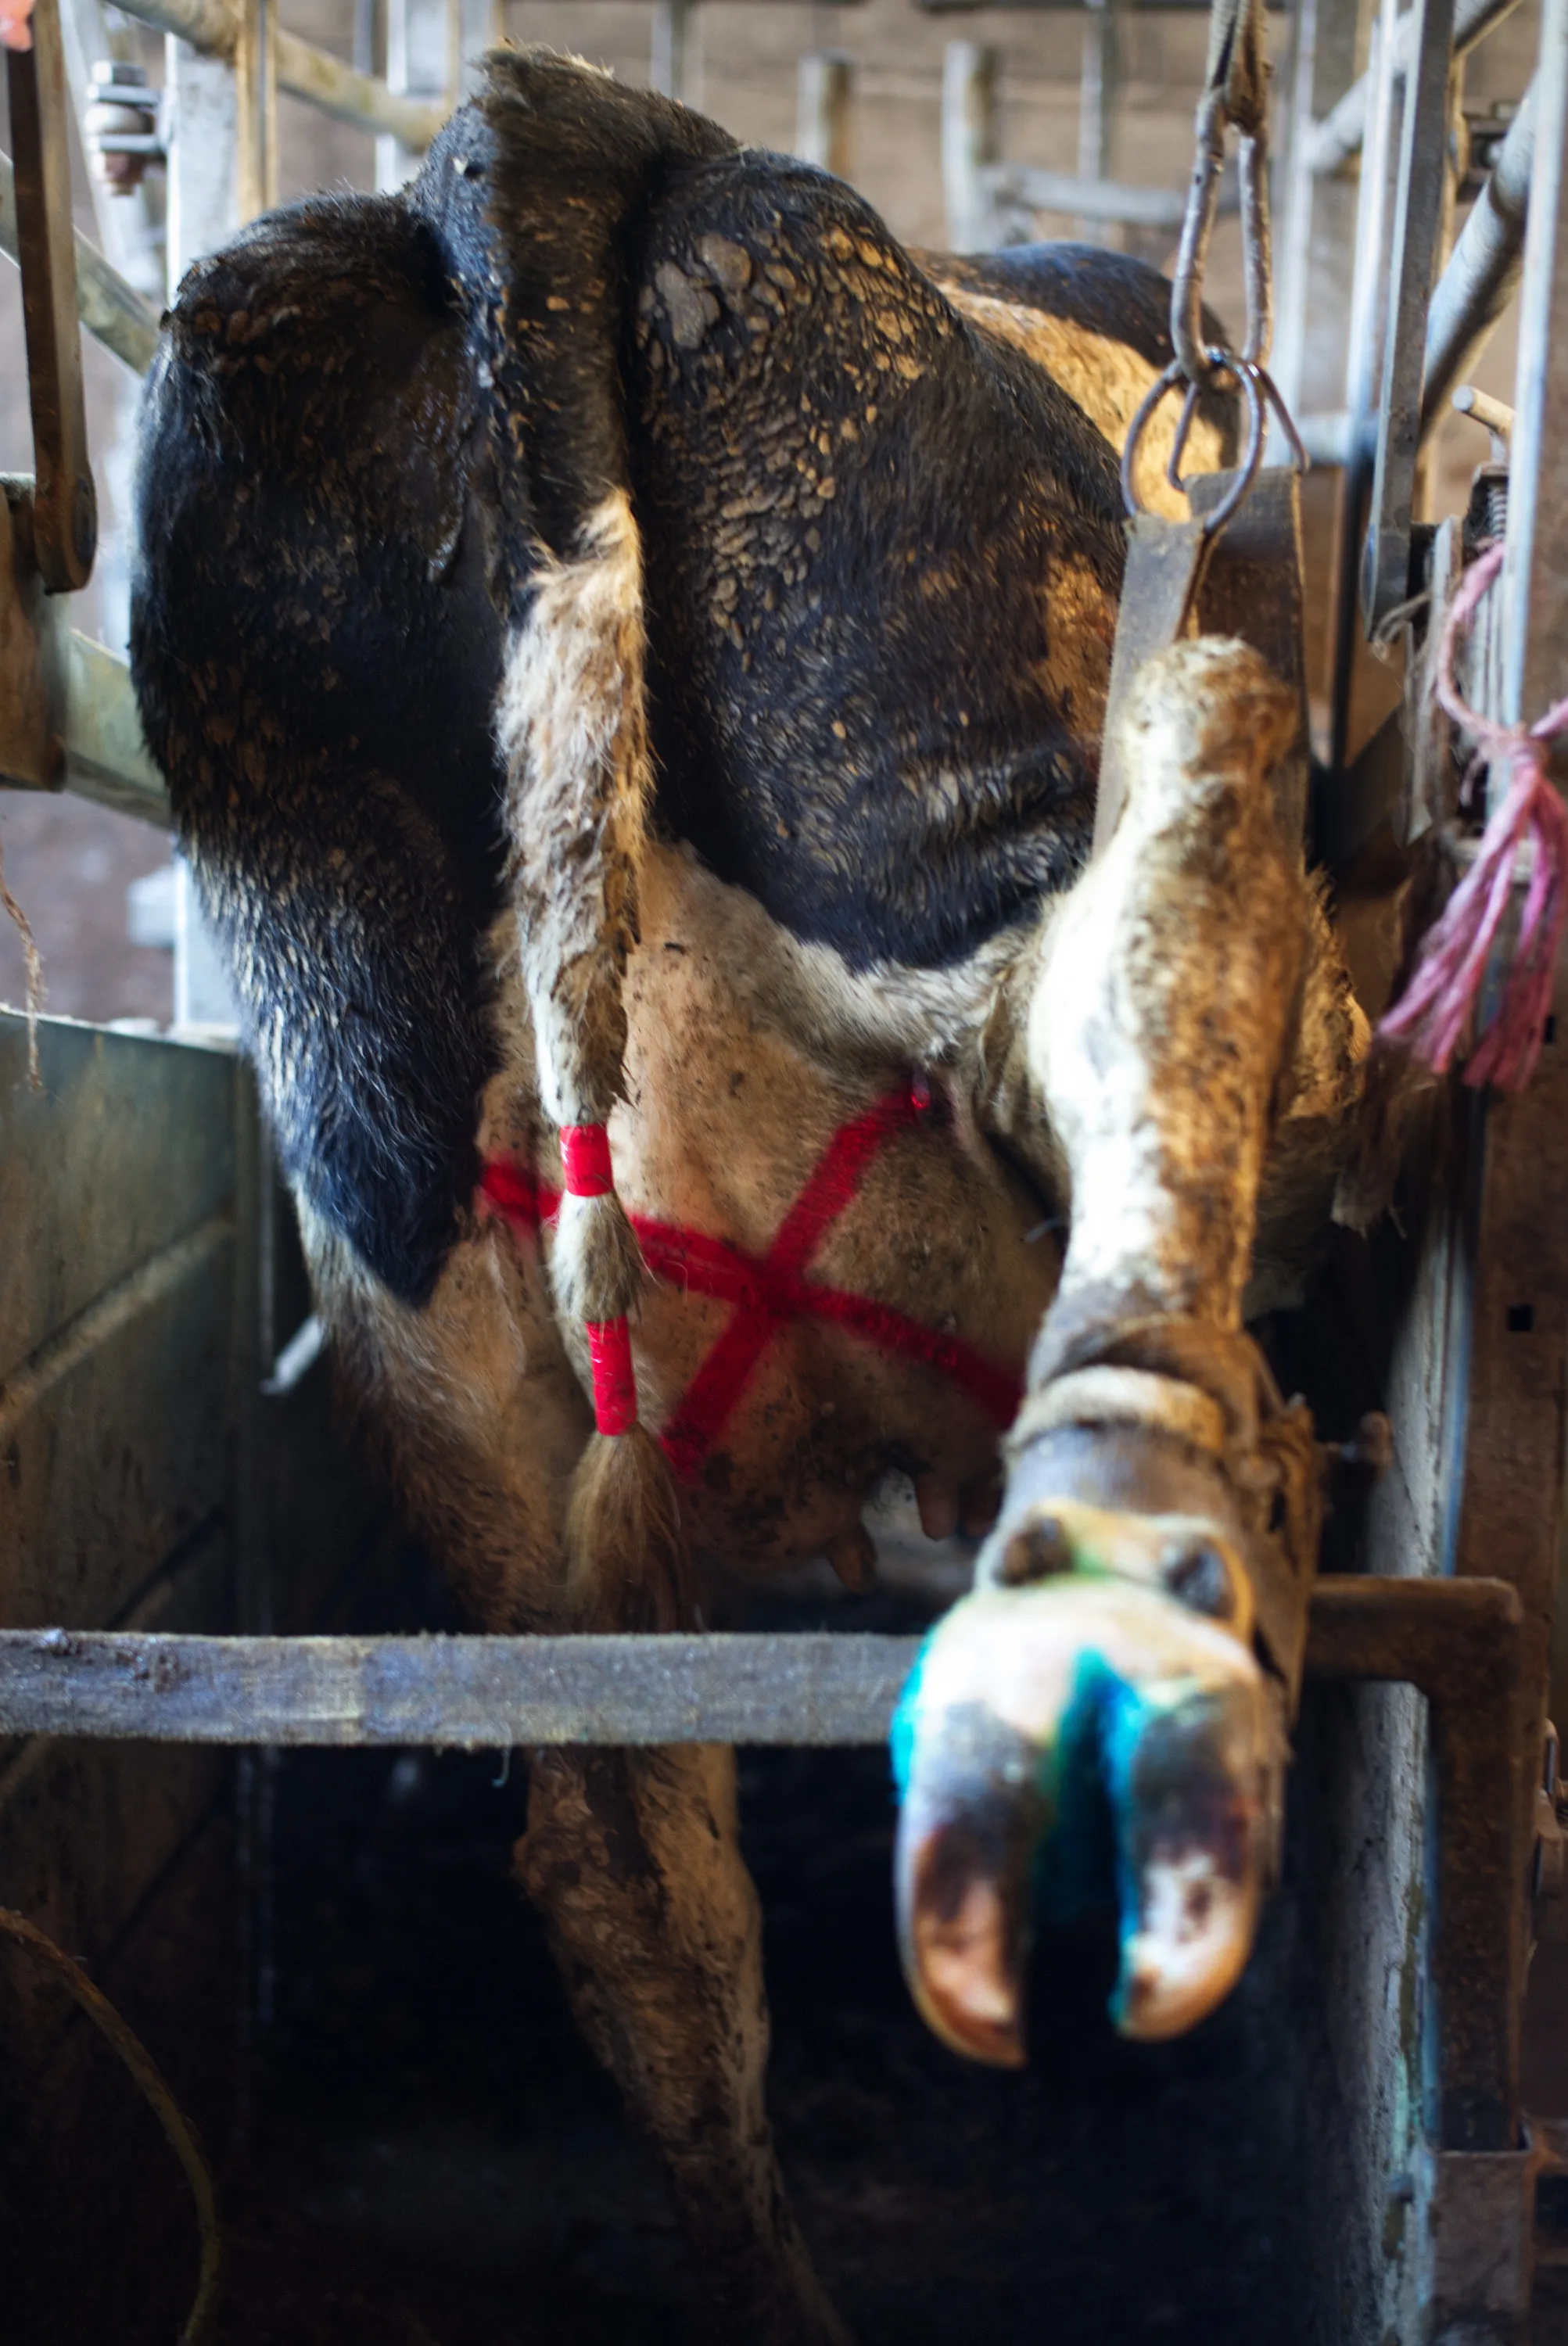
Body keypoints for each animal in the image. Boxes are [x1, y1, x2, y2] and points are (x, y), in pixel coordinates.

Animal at [129, 49, 1367, 2344]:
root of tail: (533, 127)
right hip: (970, 820)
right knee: (1177, 955)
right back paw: (1174, 1517)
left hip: (409, 1262)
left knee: (628, 1872)